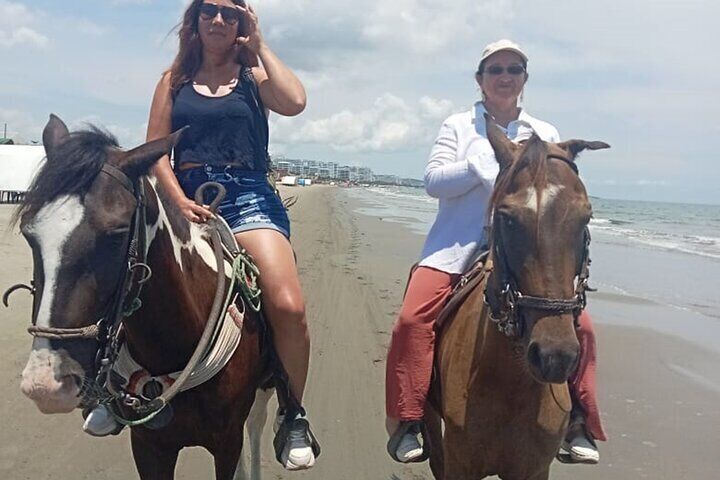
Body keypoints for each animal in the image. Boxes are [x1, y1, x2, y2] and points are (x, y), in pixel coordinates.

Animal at [11, 114, 276, 478]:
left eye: (116, 234)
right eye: (29, 233)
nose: (47, 385)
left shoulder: (227, 443)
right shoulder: (149, 447)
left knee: (257, 425)